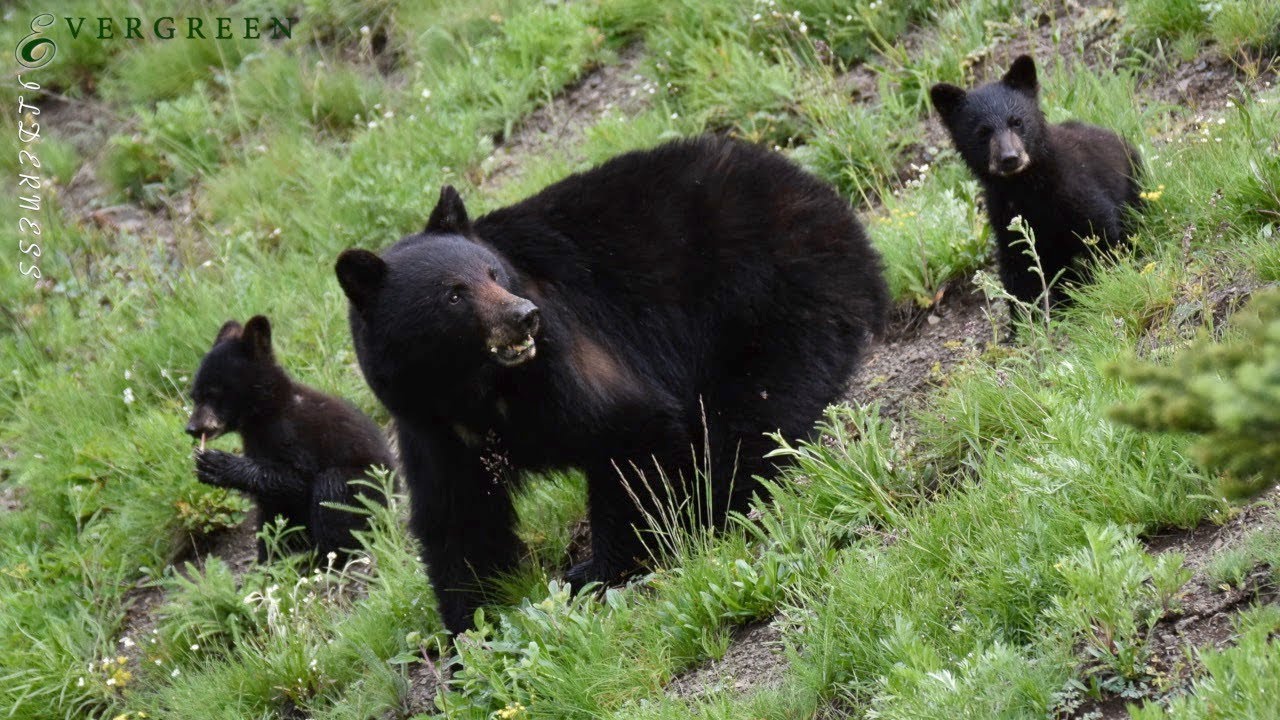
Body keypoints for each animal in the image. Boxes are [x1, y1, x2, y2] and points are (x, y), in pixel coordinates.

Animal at [185, 315, 394, 563]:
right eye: (194, 395)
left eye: (213, 393)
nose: (192, 428)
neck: (266, 412)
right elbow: (269, 511)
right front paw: (268, 560)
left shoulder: (292, 434)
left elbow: (298, 479)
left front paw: (218, 465)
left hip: (368, 489)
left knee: (332, 488)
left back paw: (326, 559)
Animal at [334, 136, 889, 636]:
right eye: (454, 294)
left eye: (494, 273)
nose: (523, 317)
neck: (479, 389)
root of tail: (821, 196)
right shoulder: (432, 427)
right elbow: (459, 521)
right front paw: (471, 631)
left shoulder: (565, 354)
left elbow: (630, 431)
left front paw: (598, 571)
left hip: (767, 294)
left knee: (756, 410)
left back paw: (719, 502)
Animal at [929, 55, 1143, 308]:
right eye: (983, 131)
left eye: (1017, 121)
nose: (1009, 158)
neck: (1025, 185)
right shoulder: (1006, 214)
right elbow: (1019, 268)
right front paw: (1028, 315)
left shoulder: (1074, 186)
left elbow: (1099, 228)